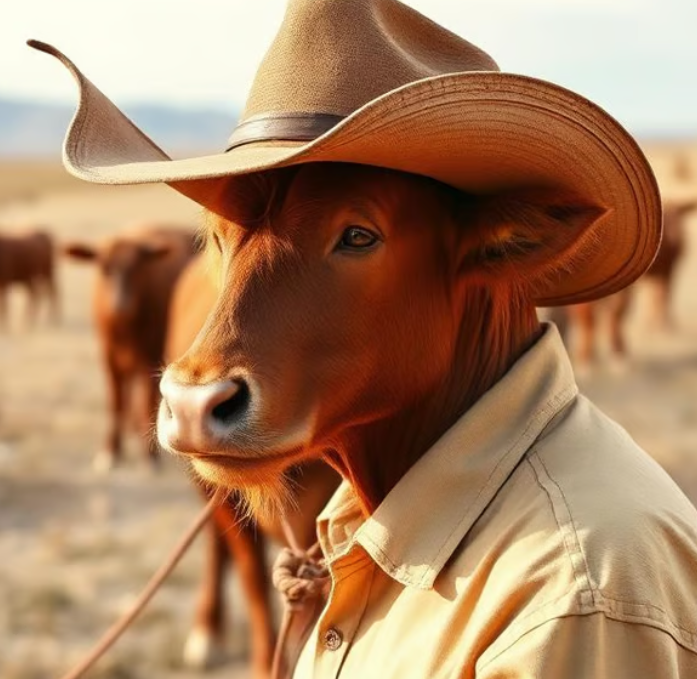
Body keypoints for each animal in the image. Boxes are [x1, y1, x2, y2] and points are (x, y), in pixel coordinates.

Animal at [63, 226, 197, 471]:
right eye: (104, 268)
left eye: (137, 268)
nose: (120, 304)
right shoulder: (109, 360)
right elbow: (115, 405)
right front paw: (110, 451)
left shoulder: (151, 359)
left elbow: (144, 403)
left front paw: (149, 457)